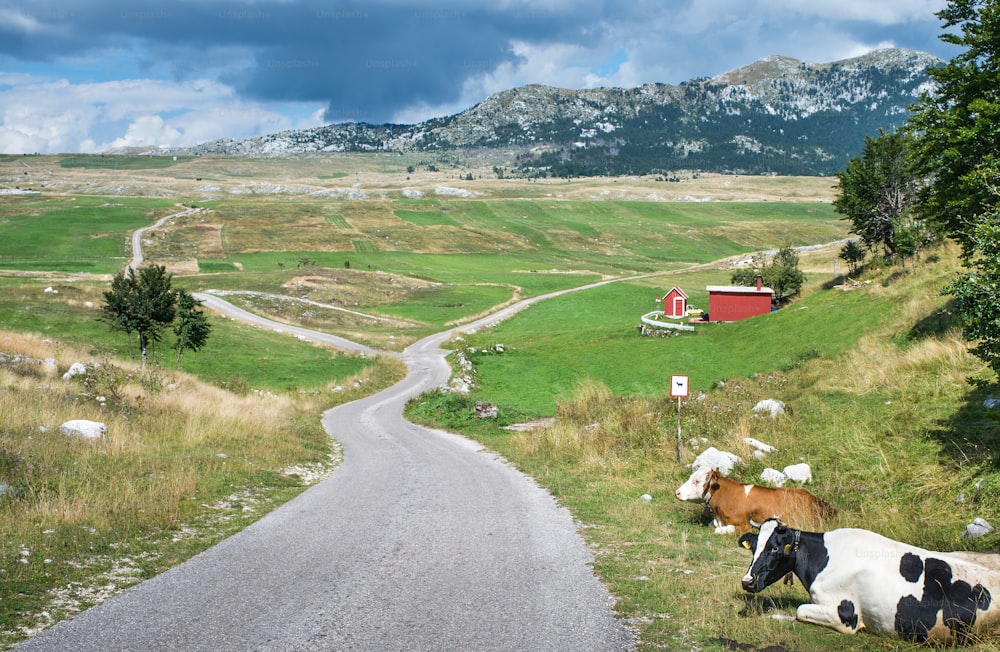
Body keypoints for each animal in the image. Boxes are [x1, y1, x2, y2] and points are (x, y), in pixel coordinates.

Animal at [736, 516, 1000, 644]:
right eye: (754, 547)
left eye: (774, 548)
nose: (747, 581)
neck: (823, 559)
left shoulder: (846, 615)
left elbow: (800, 611)